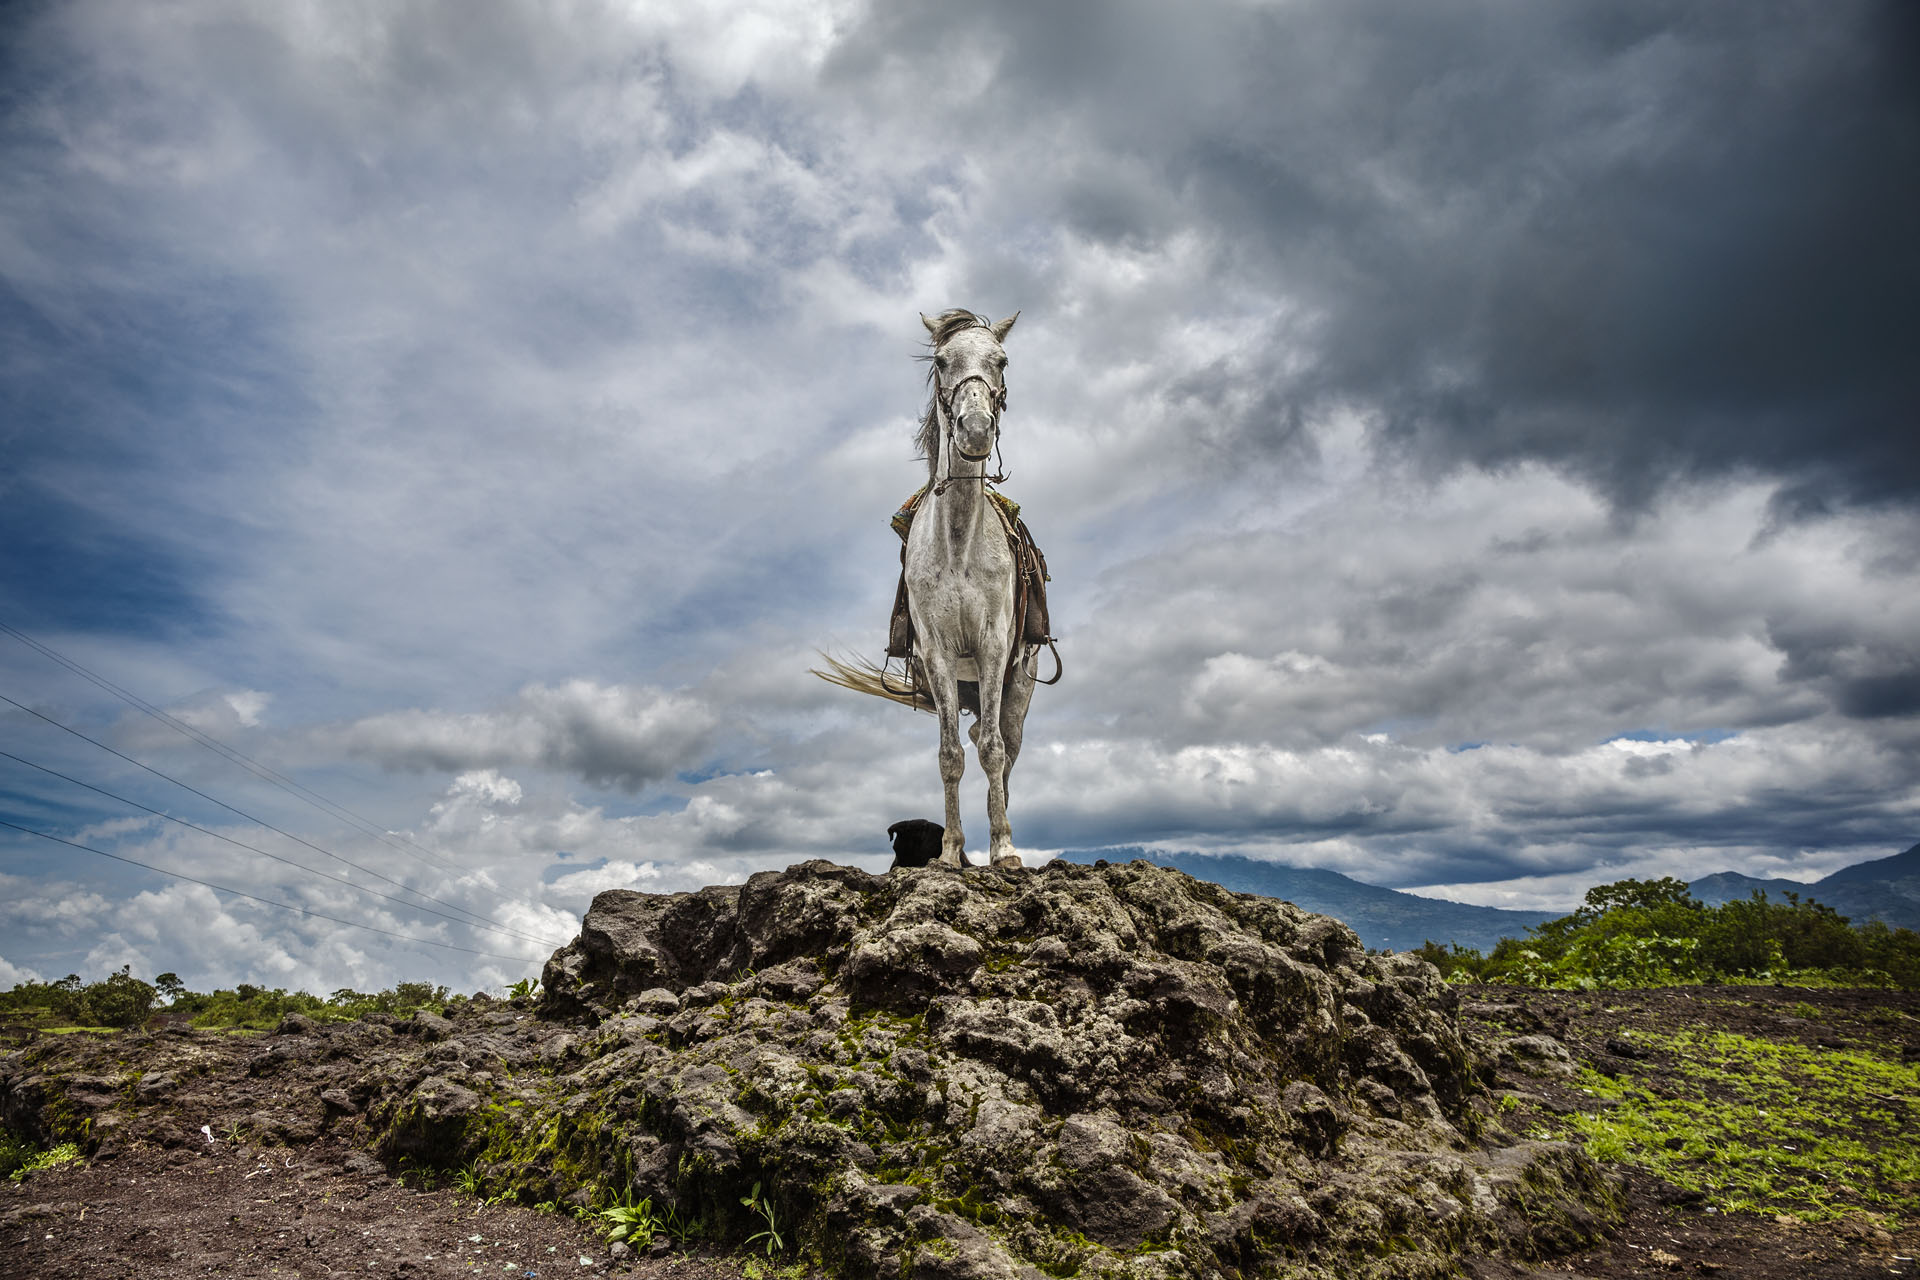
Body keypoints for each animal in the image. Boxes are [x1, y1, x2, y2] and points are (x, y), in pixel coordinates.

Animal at [817, 310, 1044, 871]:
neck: (958, 543)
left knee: (1006, 746)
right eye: (942, 361)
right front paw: (950, 852)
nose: (976, 429)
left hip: (1019, 685)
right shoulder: (940, 656)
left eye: (1002, 360)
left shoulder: (991, 651)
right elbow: (950, 755)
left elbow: (992, 750)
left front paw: (1003, 849)